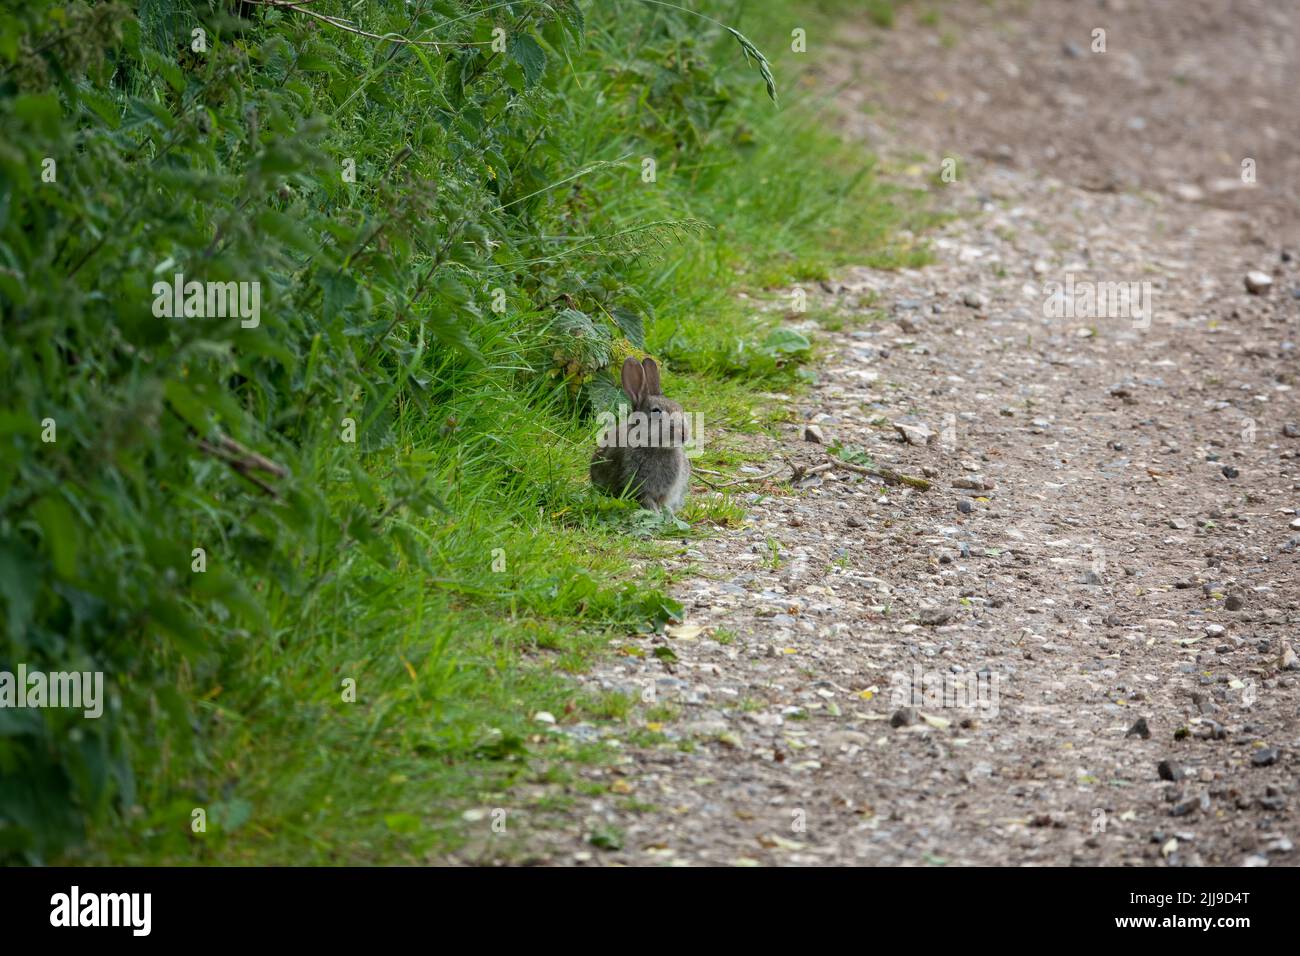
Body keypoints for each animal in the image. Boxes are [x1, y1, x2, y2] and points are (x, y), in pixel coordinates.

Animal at [591, 357, 691, 512]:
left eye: (680, 408)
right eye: (656, 411)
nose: (684, 435)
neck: (657, 448)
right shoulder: (640, 490)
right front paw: (656, 513)